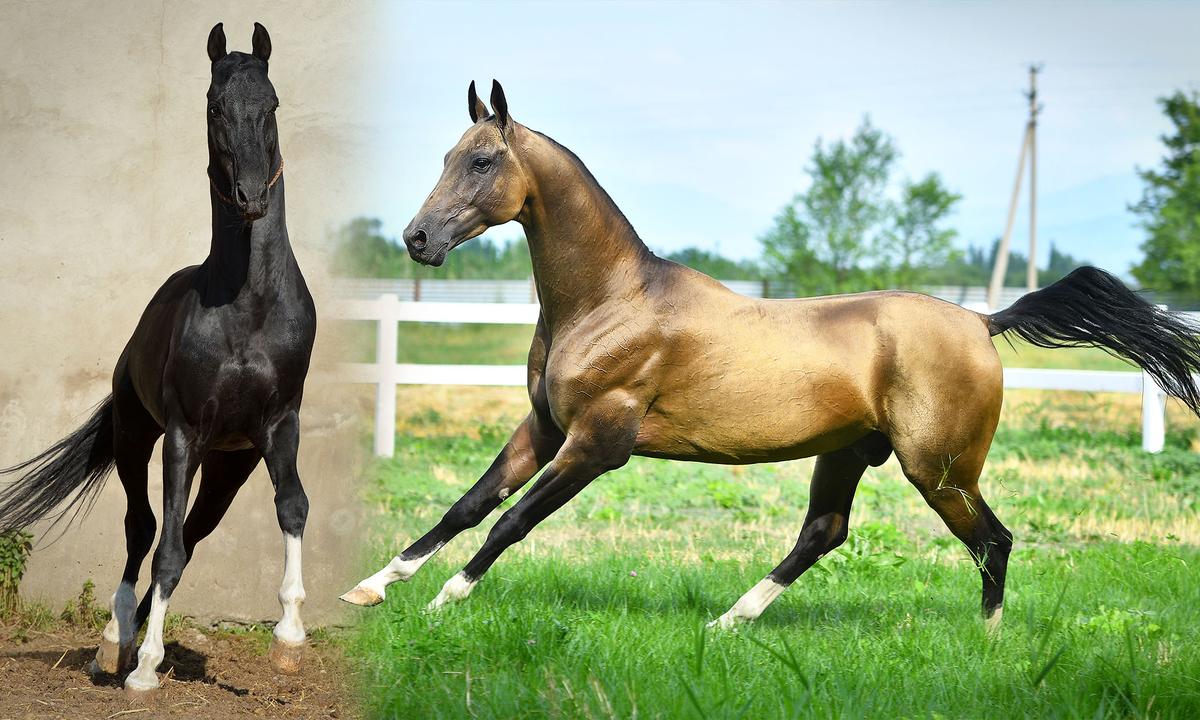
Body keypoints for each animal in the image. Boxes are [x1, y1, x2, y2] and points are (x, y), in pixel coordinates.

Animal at [0, 23, 316, 693]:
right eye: (215, 107)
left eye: (272, 104)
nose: (251, 197)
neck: (250, 305)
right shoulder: (181, 432)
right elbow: (161, 543)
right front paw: (143, 666)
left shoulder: (279, 426)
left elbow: (292, 507)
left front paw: (289, 638)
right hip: (136, 435)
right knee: (145, 529)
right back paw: (113, 644)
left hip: (228, 463)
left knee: (190, 533)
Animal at [341, 80, 1200, 633]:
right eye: (450, 153)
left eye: (482, 160)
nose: (417, 238)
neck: (610, 301)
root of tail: (984, 322)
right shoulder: (544, 428)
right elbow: (465, 506)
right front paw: (372, 588)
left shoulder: (597, 444)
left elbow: (509, 522)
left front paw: (446, 601)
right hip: (851, 453)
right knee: (824, 532)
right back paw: (729, 621)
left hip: (940, 468)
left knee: (993, 540)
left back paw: (986, 644)